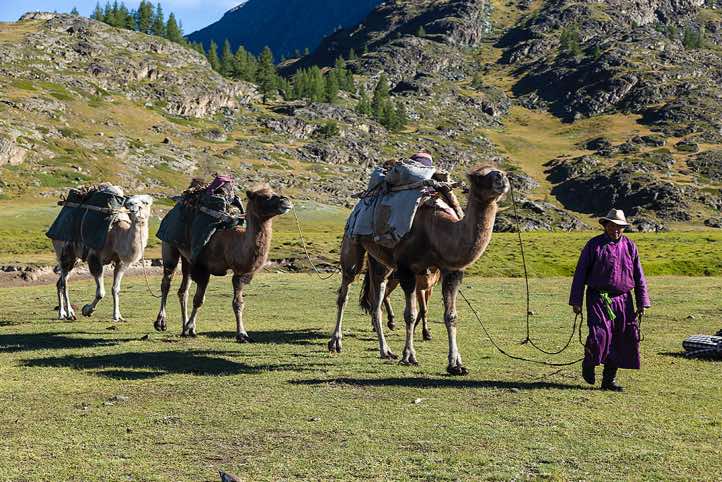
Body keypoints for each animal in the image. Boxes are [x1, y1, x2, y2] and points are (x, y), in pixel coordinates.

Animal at [153, 185, 292, 341]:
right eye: (264, 197)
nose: (286, 201)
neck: (231, 243)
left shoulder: (240, 273)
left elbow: (238, 303)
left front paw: (242, 334)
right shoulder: (203, 267)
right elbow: (199, 300)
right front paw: (190, 327)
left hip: (187, 259)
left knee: (183, 290)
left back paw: (183, 328)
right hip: (169, 246)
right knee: (167, 282)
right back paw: (161, 323)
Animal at [329, 165, 509, 375]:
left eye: (502, 172)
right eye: (479, 176)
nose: (501, 177)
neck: (437, 233)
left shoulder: (452, 271)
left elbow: (451, 316)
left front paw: (456, 364)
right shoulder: (406, 268)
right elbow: (410, 314)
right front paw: (409, 356)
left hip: (381, 262)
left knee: (376, 299)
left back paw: (386, 351)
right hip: (352, 243)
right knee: (345, 291)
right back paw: (335, 343)